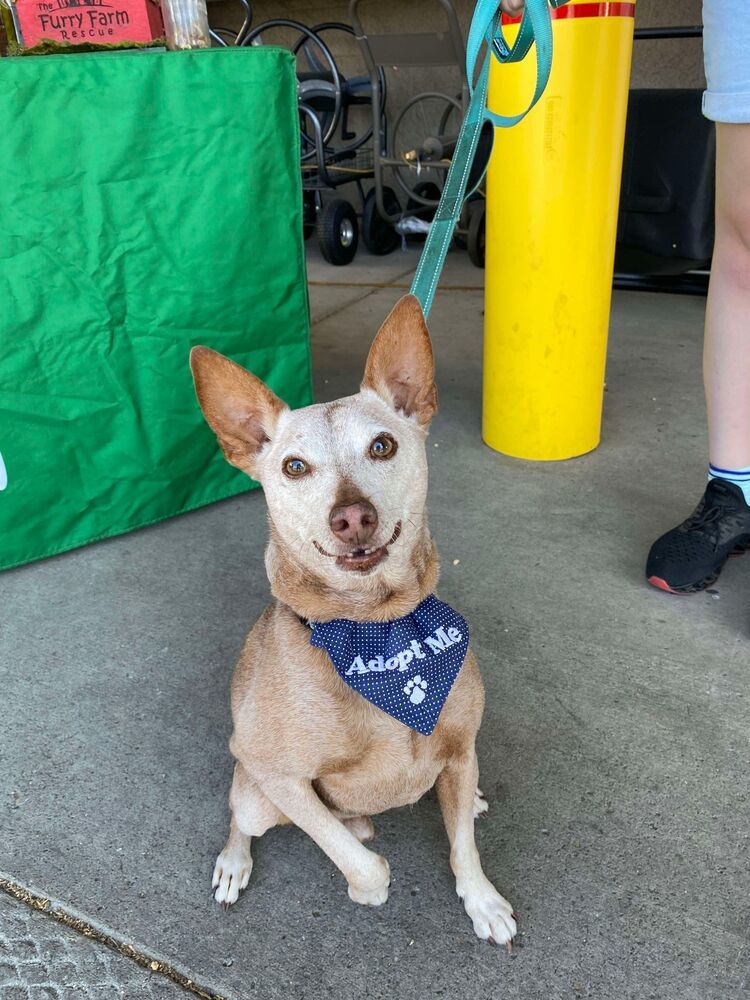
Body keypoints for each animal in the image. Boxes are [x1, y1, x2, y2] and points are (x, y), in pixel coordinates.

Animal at [189, 294, 516, 944]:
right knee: (246, 816)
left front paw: (482, 900)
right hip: (255, 794)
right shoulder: (280, 776)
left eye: (383, 446)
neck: (377, 630)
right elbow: (356, 858)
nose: (352, 517)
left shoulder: (462, 747)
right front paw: (370, 886)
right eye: (293, 467)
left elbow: (464, 846)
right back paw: (237, 860)